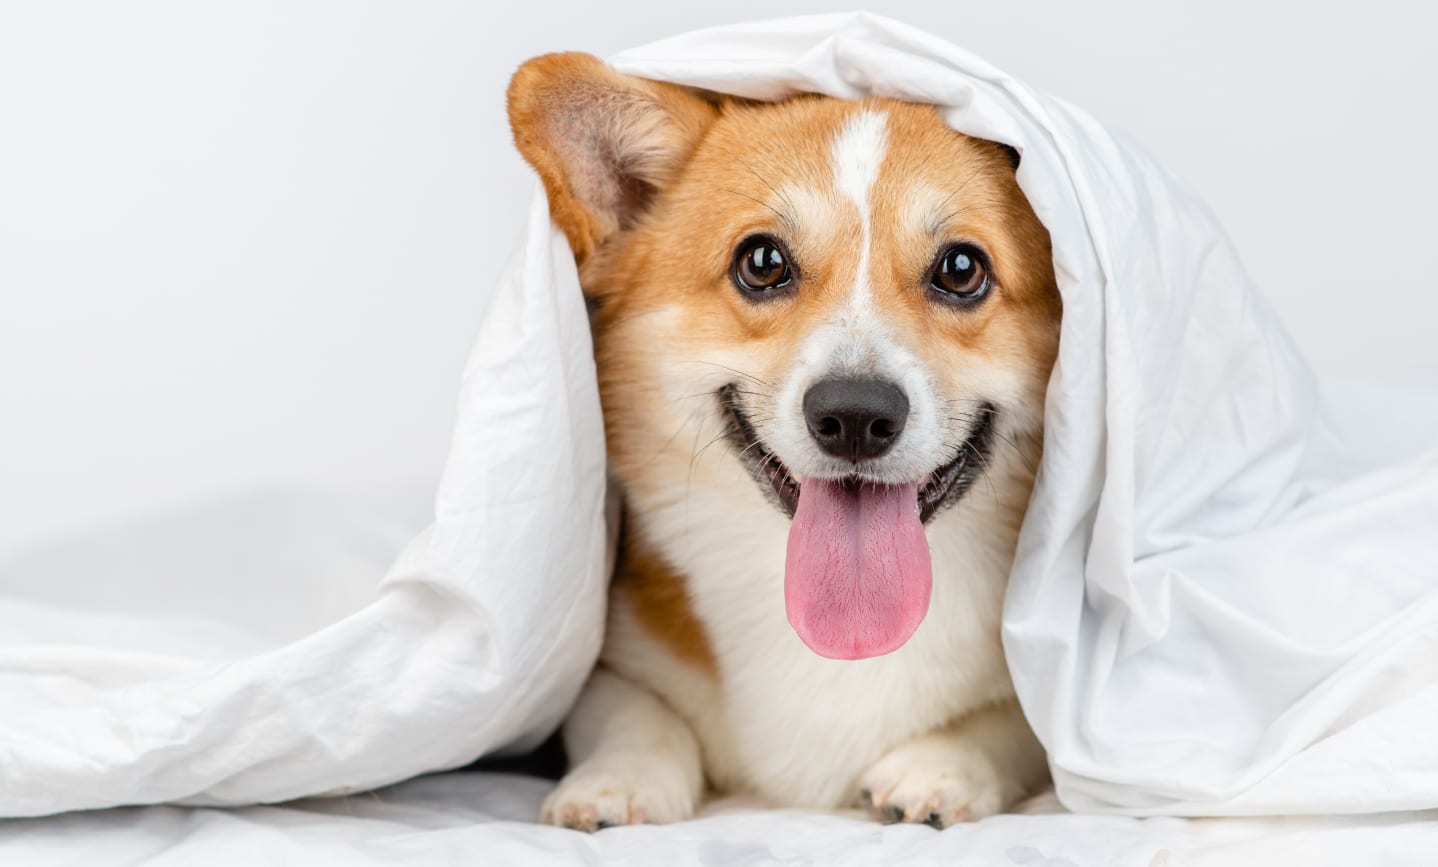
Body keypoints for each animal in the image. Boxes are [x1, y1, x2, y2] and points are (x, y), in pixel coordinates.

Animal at [503, 51, 1058, 833]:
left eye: (961, 269)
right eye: (762, 262)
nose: (854, 416)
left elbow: (1015, 722)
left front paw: (939, 768)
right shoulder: (611, 661)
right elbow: (629, 709)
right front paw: (617, 783)